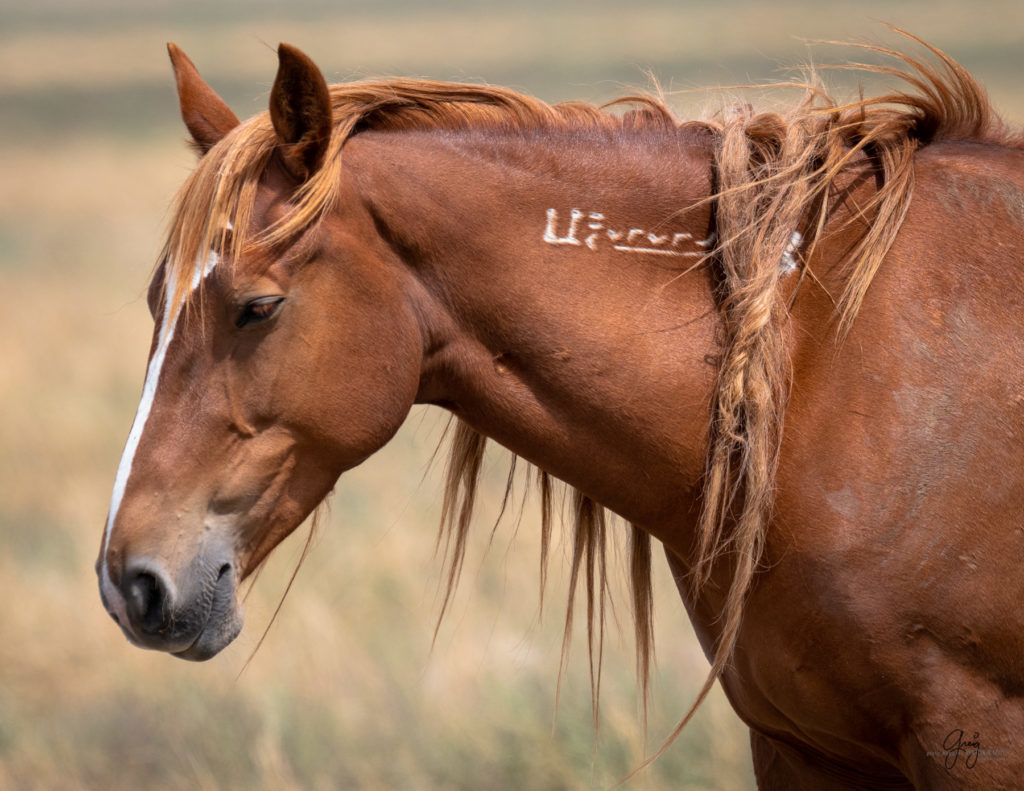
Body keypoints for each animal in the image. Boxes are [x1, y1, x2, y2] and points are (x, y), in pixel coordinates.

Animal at [97, 40, 1024, 786]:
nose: (129, 581)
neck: (823, 361)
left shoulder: (973, 737)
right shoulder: (803, 747)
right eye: (152, 301)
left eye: (257, 307)